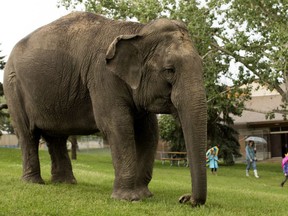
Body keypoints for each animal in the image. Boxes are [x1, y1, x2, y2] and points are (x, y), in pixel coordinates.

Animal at [3, 11, 207, 206]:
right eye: (169, 70)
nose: (185, 198)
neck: (137, 31)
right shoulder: (102, 76)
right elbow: (117, 126)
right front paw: (128, 199)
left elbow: (149, 133)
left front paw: (143, 195)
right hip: (13, 87)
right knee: (28, 134)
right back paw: (34, 182)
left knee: (56, 137)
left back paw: (65, 183)